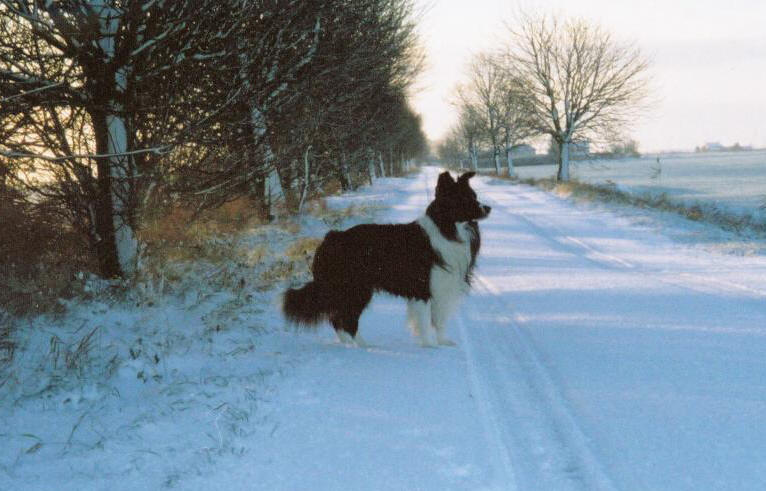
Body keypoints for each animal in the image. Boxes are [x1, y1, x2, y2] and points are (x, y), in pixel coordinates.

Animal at [284, 171, 492, 348]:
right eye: (465, 199)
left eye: (474, 196)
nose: (488, 208)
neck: (449, 228)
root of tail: (331, 237)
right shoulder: (423, 287)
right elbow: (425, 320)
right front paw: (429, 346)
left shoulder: (443, 287)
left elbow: (440, 320)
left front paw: (443, 342)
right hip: (355, 289)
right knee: (346, 318)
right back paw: (362, 345)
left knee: (337, 318)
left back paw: (348, 344)